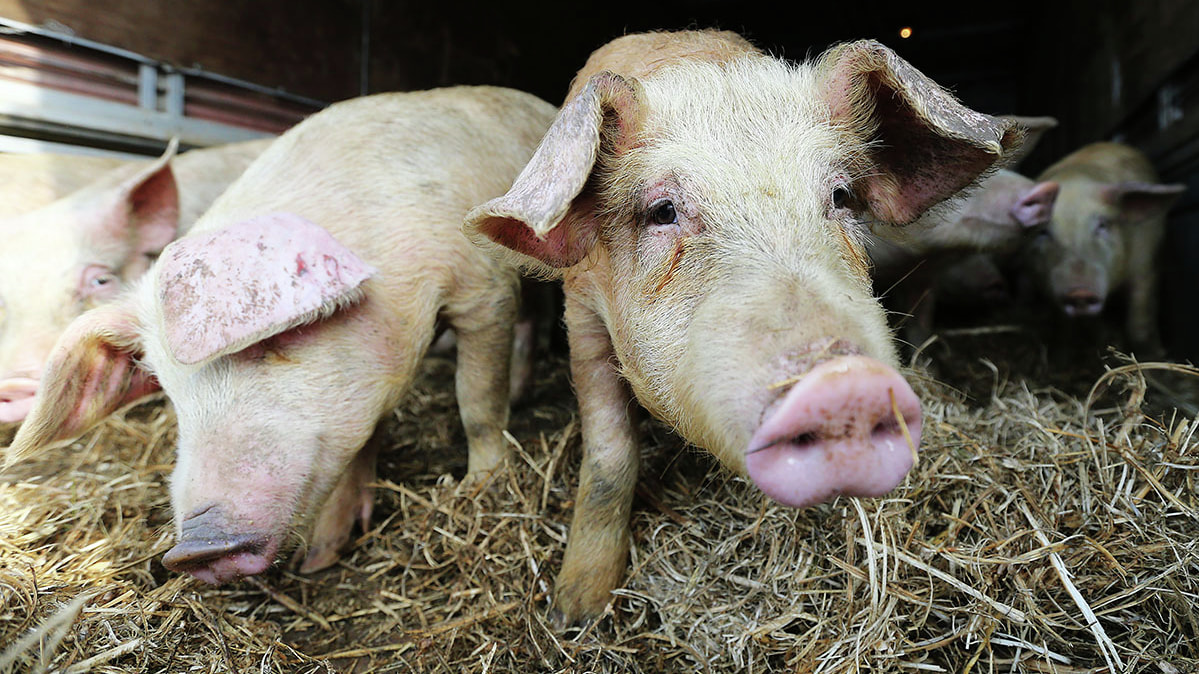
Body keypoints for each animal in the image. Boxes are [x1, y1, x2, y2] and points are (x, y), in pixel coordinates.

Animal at [1021, 139, 1189, 354]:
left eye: (1103, 224)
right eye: (1042, 231)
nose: (1080, 293)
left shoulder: (1146, 264)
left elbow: (1139, 324)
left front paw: (1157, 355)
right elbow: (1069, 328)